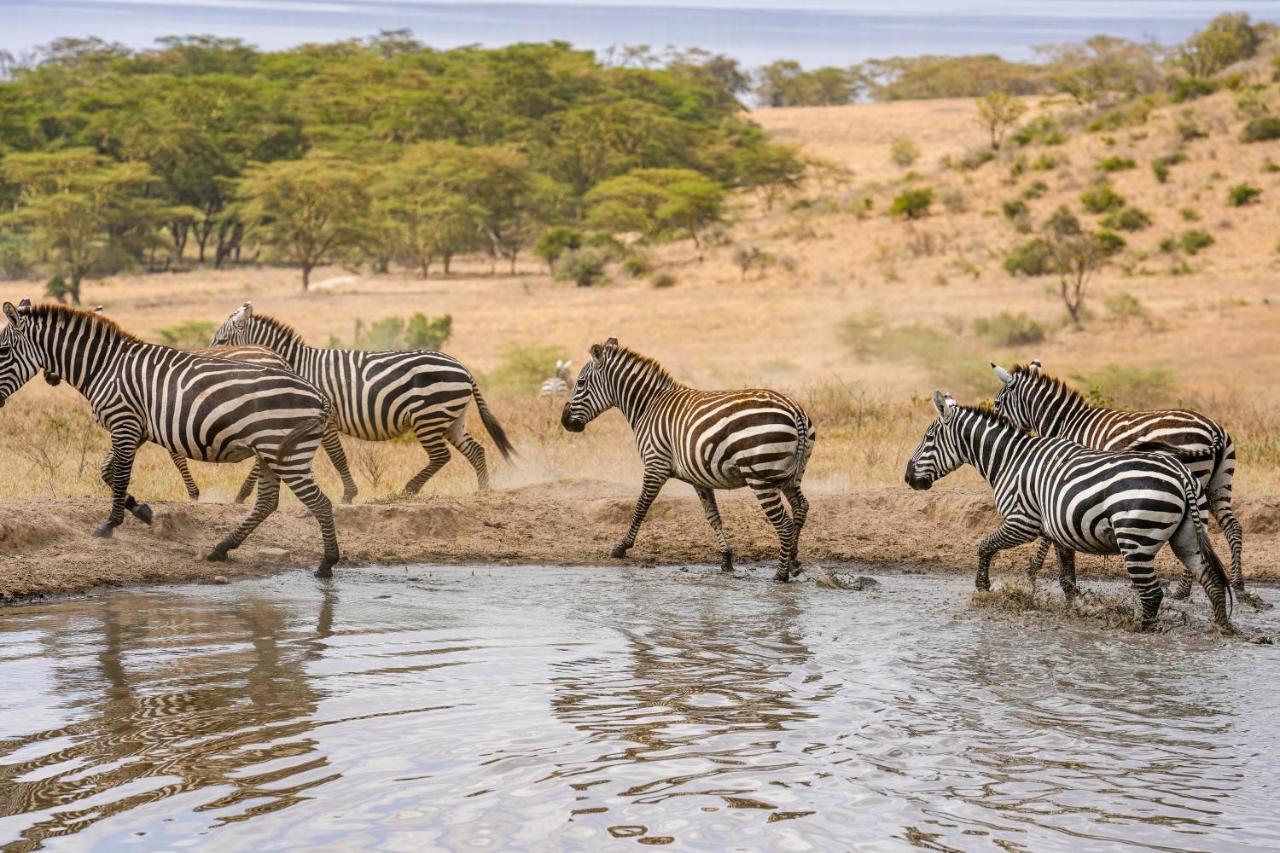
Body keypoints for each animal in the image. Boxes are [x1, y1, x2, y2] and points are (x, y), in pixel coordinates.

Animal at [0, 300, 343, 578]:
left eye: (2, 351)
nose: (50, 379)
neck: (104, 367)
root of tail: (318, 395)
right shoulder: (135, 428)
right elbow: (107, 471)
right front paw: (141, 511)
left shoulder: (124, 423)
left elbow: (120, 475)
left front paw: (110, 524)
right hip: (271, 452)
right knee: (267, 503)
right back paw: (221, 549)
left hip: (285, 452)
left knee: (320, 503)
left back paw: (327, 564)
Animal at [207, 302, 512, 494]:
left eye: (221, 341)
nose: (207, 357)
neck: (295, 364)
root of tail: (463, 368)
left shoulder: (324, 420)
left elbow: (337, 458)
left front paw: (348, 495)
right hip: (451, 418)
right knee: (475, 450)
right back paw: (483, 490)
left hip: (429, 416)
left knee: (441, 456)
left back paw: (410, 489)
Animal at [563, 335, 819, 581]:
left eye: (580, 383)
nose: (564, 421)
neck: (648, 406)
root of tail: (795, 410)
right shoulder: (699, 476)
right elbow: (713, 516)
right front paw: (726, 559)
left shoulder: (655, 464)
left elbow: (640, 507)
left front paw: (622, 547)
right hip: (791, 475)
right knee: (800, 508)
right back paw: (794, 562)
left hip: (761, 476)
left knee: (784, 523)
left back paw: (780, 575)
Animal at [906, 391, 1233, 630]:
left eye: (928, 438)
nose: (908, 478)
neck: (1010, 461)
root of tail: (1179, 473)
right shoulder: (1060, 530)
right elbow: (1067, 578)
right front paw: (1077, 606)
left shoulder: (1022, 522)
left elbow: (984, 545)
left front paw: (983, 587)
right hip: (1188, 535)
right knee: (1212, 581)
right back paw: (1224, 629)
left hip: (1136, 540)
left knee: (1152, 594)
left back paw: (1139, 629)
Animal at [988, 358, 1239, 591]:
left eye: (997, 403)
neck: (1063, 423)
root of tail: (1214, 429)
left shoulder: (1060, 479)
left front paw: (1032, 571)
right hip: (1218, 484)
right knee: (1231, 526)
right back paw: (1236, 585)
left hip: (1194, 477)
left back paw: (1185, 590)